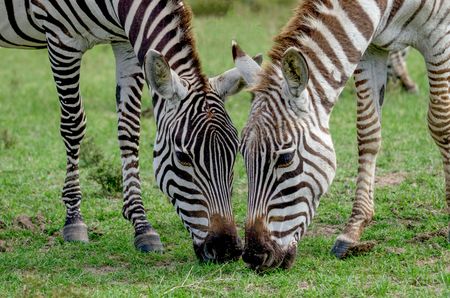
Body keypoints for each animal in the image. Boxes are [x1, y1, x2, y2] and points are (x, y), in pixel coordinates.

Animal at [0, 0, 250, 260]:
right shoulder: (62, 39)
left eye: (235, 152)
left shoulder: (126, 43)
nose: (227, 249)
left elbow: (129, 129)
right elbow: (73, 124)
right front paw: (74, 219)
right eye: (183, 157)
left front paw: (141, 224)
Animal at [232, 0, 450, 270]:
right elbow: (368, 131)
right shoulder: (371, 47)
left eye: (285, 158)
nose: (254, 256)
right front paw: (353, 230)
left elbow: (441, 123)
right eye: (243, 156)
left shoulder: (439, 34)